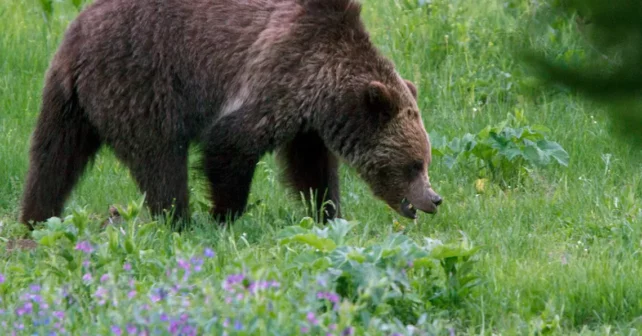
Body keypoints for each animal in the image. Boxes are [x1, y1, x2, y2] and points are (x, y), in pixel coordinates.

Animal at [18, 0, 440, 230]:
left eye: (425, 160)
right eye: (413, 164)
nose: (434, 198)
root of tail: (75, 39)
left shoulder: (306, 120)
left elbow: (311, 169)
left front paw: (328, 213)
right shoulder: (279, 71)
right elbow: (231, 143)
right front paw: (225, 217)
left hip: (68, 104)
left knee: (53, 159)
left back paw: (35, 220)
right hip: (140, 82)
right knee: (160, 160)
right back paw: (179, 221)